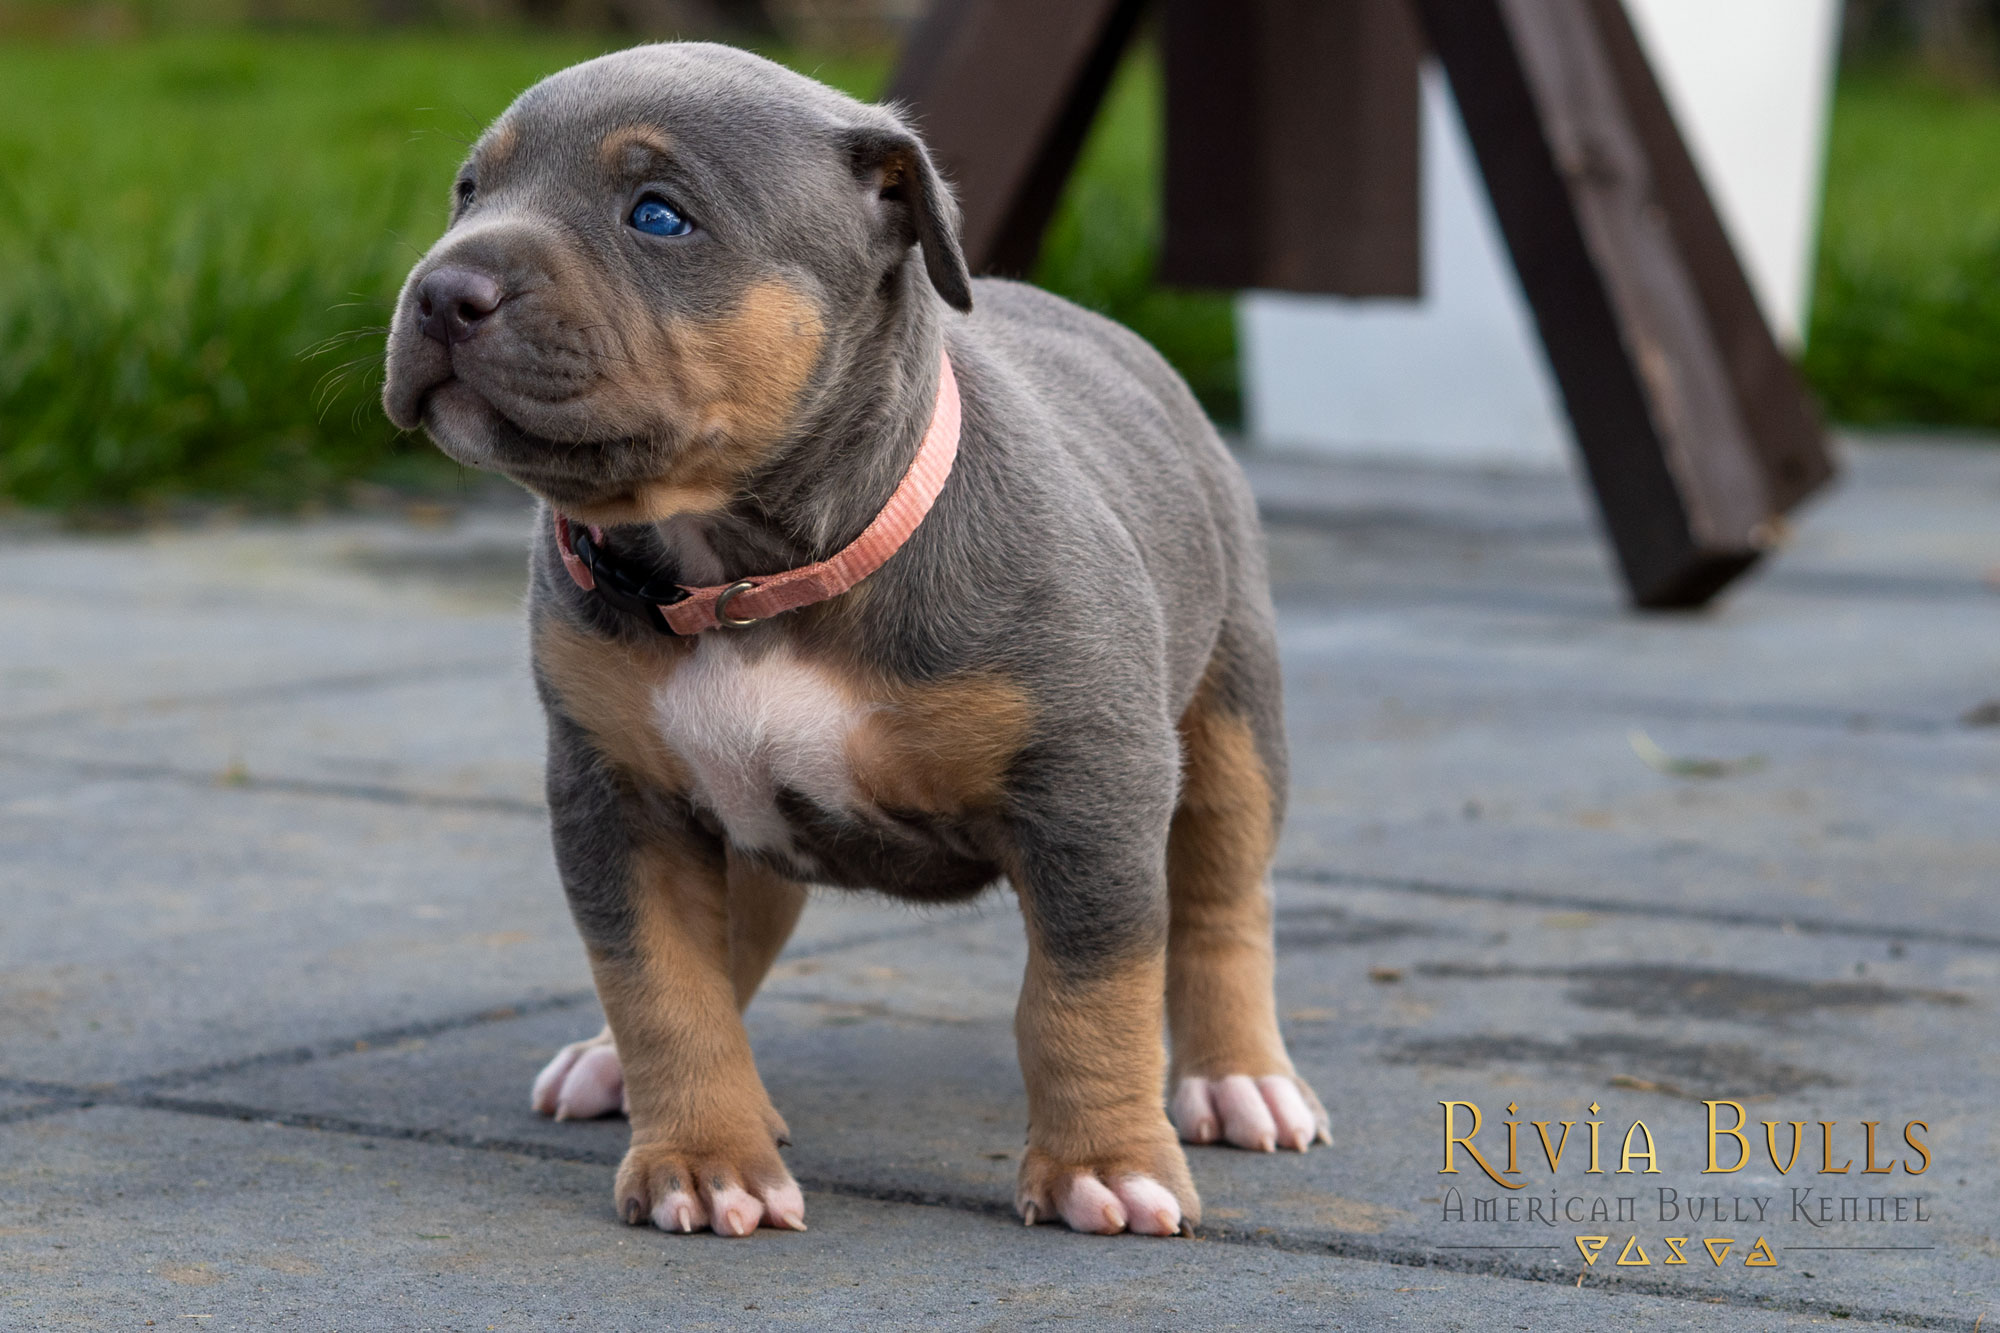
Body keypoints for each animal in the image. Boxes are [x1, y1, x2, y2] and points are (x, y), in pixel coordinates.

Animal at [381, 42, 1327, 1238]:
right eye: (471, 192)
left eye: (659, 215)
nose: (440, 289)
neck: (746, 572)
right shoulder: (616, 798)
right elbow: (661, 984)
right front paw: (705, 1158)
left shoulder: (1089, 787)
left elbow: (1086, 991)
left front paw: (1105, 1164)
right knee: (737, 933)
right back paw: (614, 1067)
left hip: (1232, 721)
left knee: (1221, 903)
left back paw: (1238, 1077)